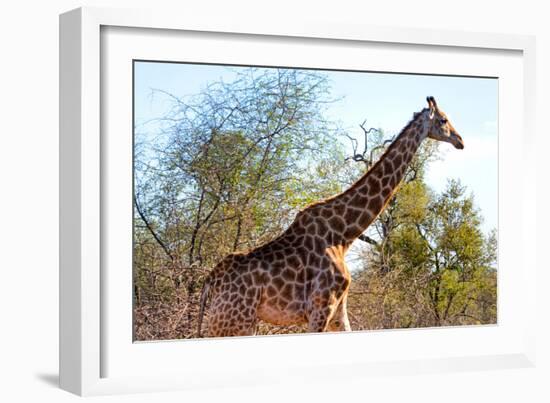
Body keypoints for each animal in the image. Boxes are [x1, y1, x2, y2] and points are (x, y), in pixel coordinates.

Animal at [198, 97, 466, 338]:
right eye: (443, 119)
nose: (460, 140)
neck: (343, 234)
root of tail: (210, 282)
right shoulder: (321, 307)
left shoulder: (339, 309)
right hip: (234, 322)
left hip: (230, 323)